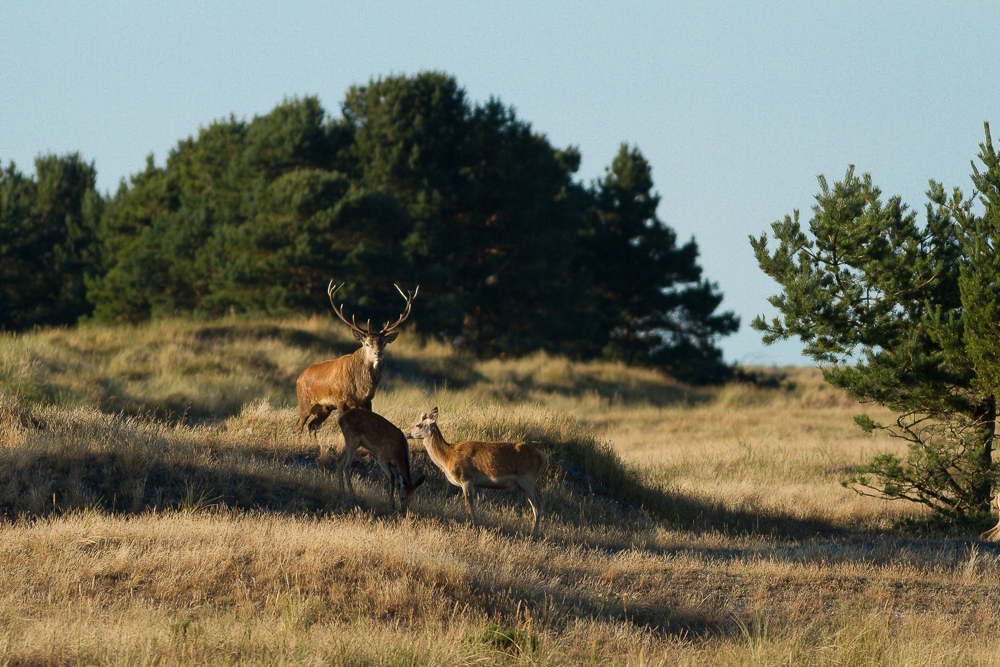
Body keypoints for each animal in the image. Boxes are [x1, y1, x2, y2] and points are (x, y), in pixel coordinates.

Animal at [298, 284, 420, 436]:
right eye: (367, 343)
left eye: (384, 343)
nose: (378, 353)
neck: (360, 388)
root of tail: (299, 377)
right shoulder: (341, 399)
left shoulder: (367, 401)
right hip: (304, 402)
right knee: (299, 425)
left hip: (325, 407)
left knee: (312, 425)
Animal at [406, 408, 548, 536]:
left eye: (418, 424)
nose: (406, 433)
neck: (448, 457)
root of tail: (541, 456)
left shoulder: (466, 479)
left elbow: (469, 505)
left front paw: (472, 526)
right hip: (524, 484)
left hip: (527, 480)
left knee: (538, 505)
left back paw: (533, 533)